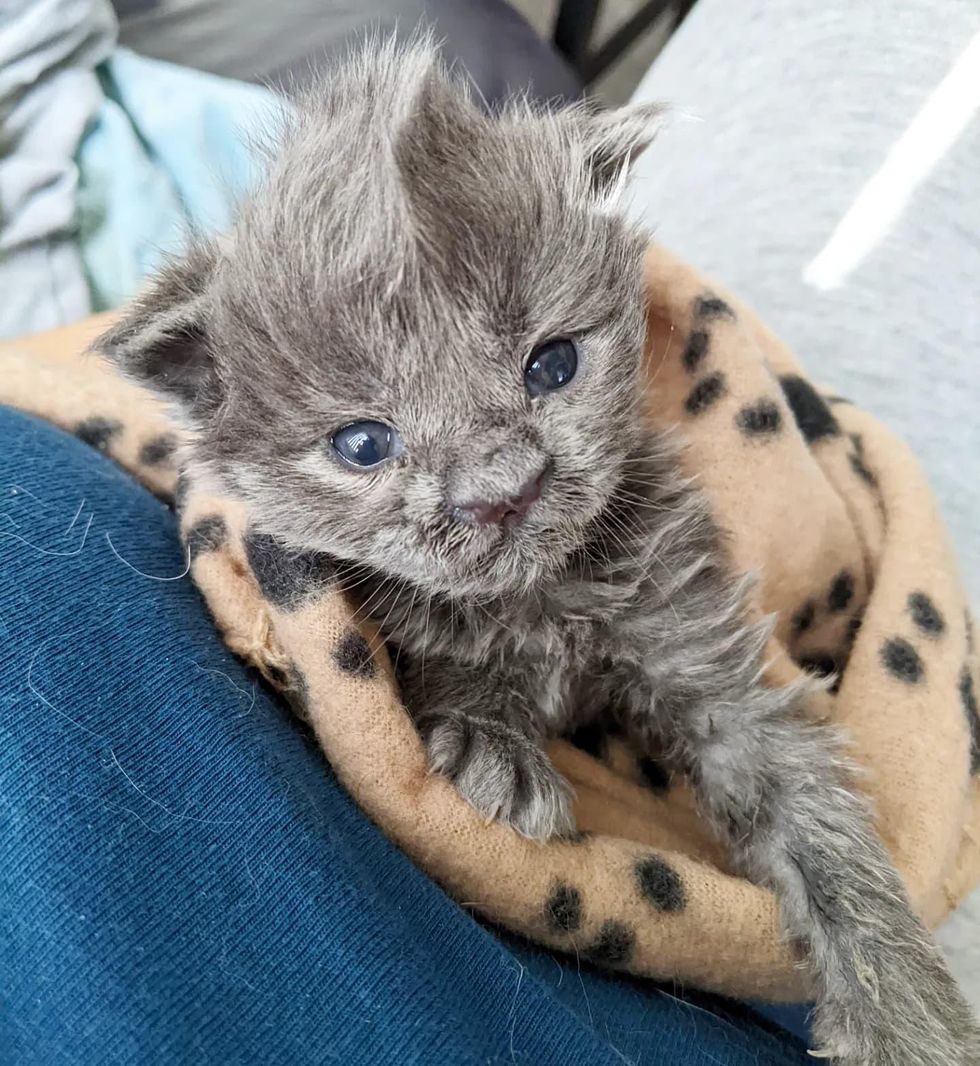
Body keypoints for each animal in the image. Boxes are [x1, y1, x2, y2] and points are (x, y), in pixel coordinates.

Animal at [97, 39, 980, 1066]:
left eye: (552, 364)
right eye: (363, 444)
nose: (504, 490)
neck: (544, 599)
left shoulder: (695, 637)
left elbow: (808, 807)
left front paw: (907, 1014)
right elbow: (442, 652)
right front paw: (493, 739)